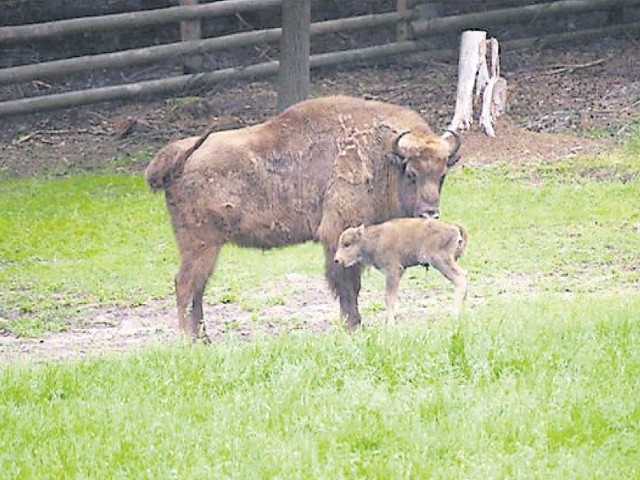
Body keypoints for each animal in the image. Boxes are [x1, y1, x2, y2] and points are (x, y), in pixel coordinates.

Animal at [332, 218, 468, 324]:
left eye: (347, 244)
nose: (337, 260)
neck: (374, 239)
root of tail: (453, 227)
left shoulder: (393, 271)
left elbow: (389, 298)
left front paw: (390, 324)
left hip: (440, 261)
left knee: (460, 278)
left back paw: (454, 314)